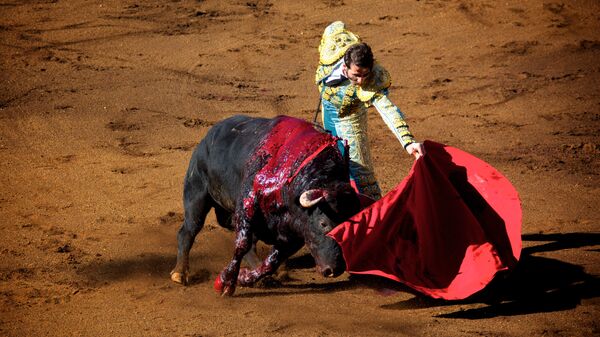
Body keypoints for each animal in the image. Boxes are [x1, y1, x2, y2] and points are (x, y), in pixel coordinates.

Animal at [171, 115, 364, 294]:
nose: (335, 269)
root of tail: (207, 138)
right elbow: (242, 244)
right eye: (323, 223)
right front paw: (225, 282)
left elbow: (270, 263)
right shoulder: (247, 203)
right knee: (188, 231)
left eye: (347, 229)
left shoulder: (294, 234)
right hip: (196, 194)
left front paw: (245, 278)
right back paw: (180, 273)